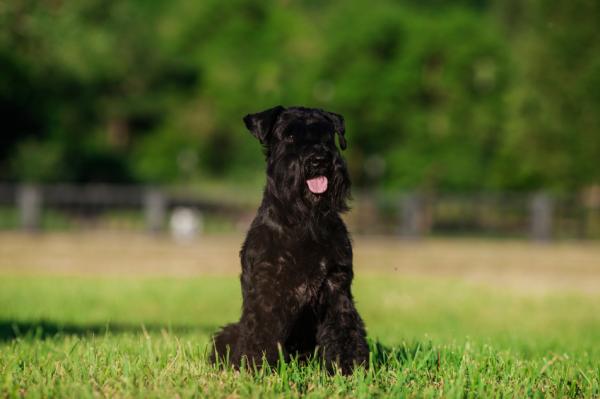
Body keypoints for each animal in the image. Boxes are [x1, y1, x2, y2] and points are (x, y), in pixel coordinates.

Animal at [211, 104, 370, 374]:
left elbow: (344, 326)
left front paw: (349, 367)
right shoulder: (268, 286)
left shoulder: (336, 285)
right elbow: (262, 330)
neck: (304, 220)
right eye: (290, 135)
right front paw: (257, 367)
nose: (319, 160)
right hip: (229, 333)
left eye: (326, 135)